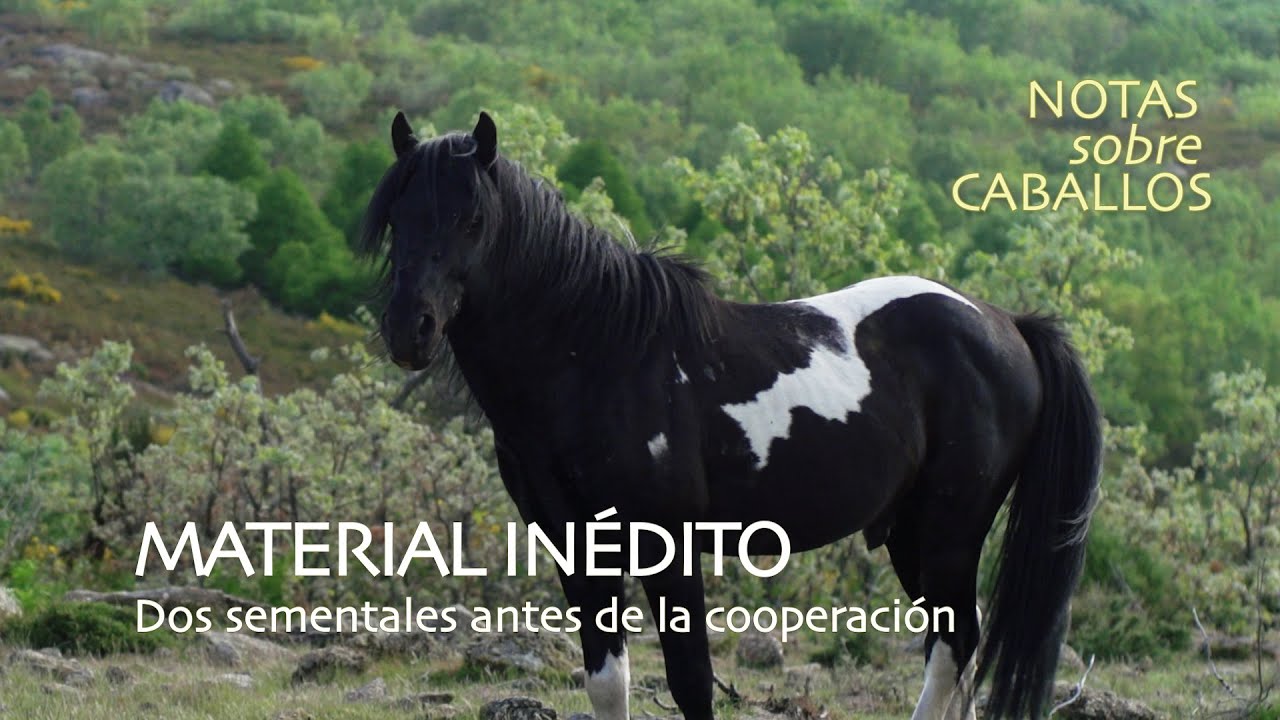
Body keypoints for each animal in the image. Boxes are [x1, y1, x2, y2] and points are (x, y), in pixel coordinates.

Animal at [361, 111, 1101, 720]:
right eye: (397, 218)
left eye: (472, 220)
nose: (409, 330)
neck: (598, 359)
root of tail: (1007, 324)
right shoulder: (575, 544)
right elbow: (606, 681)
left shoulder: (668, 543)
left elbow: (691, 682)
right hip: (910, 532)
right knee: (957, 647)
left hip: (951, 525)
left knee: (953, 647)